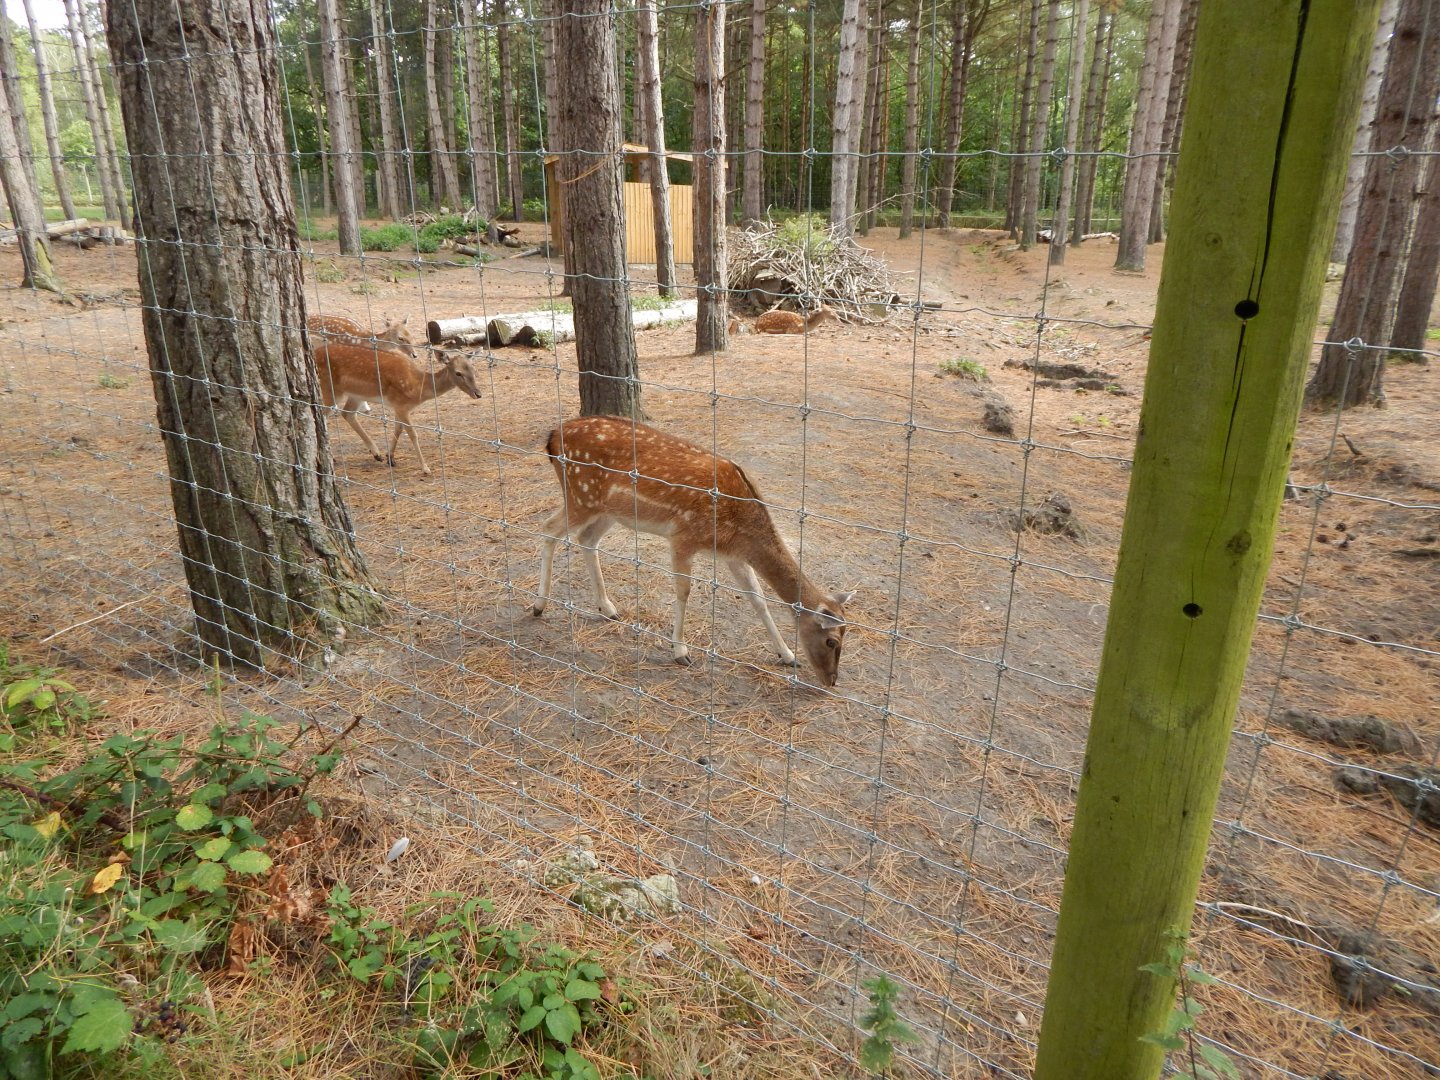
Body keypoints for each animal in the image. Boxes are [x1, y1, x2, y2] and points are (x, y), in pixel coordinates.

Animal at [312, 339, 482, 476]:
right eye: (458, 373)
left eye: (473, 370)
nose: (478, 394)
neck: (418, 387)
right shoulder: (400, 405)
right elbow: (412, 434)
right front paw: (425, 468)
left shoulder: (398, 406)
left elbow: (398, 429)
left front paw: (390, 458)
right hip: (329, 388)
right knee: (321, 414)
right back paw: (332, 458)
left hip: (356, 394)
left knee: (347, 413)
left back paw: (376, 454)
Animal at [531, 416, 855, 686]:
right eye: (831, 641)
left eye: (845, 635)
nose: (832, 681)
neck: (738, 527)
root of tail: (552, 437)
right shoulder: (683, 537)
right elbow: (684, 592)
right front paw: (681, 652)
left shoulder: (733, 555)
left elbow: (758, 599)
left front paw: (787, 655)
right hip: (580, 496)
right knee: (547, 527)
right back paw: (539, 605)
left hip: (607, 509)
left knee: (586, 539)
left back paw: (609, 609)